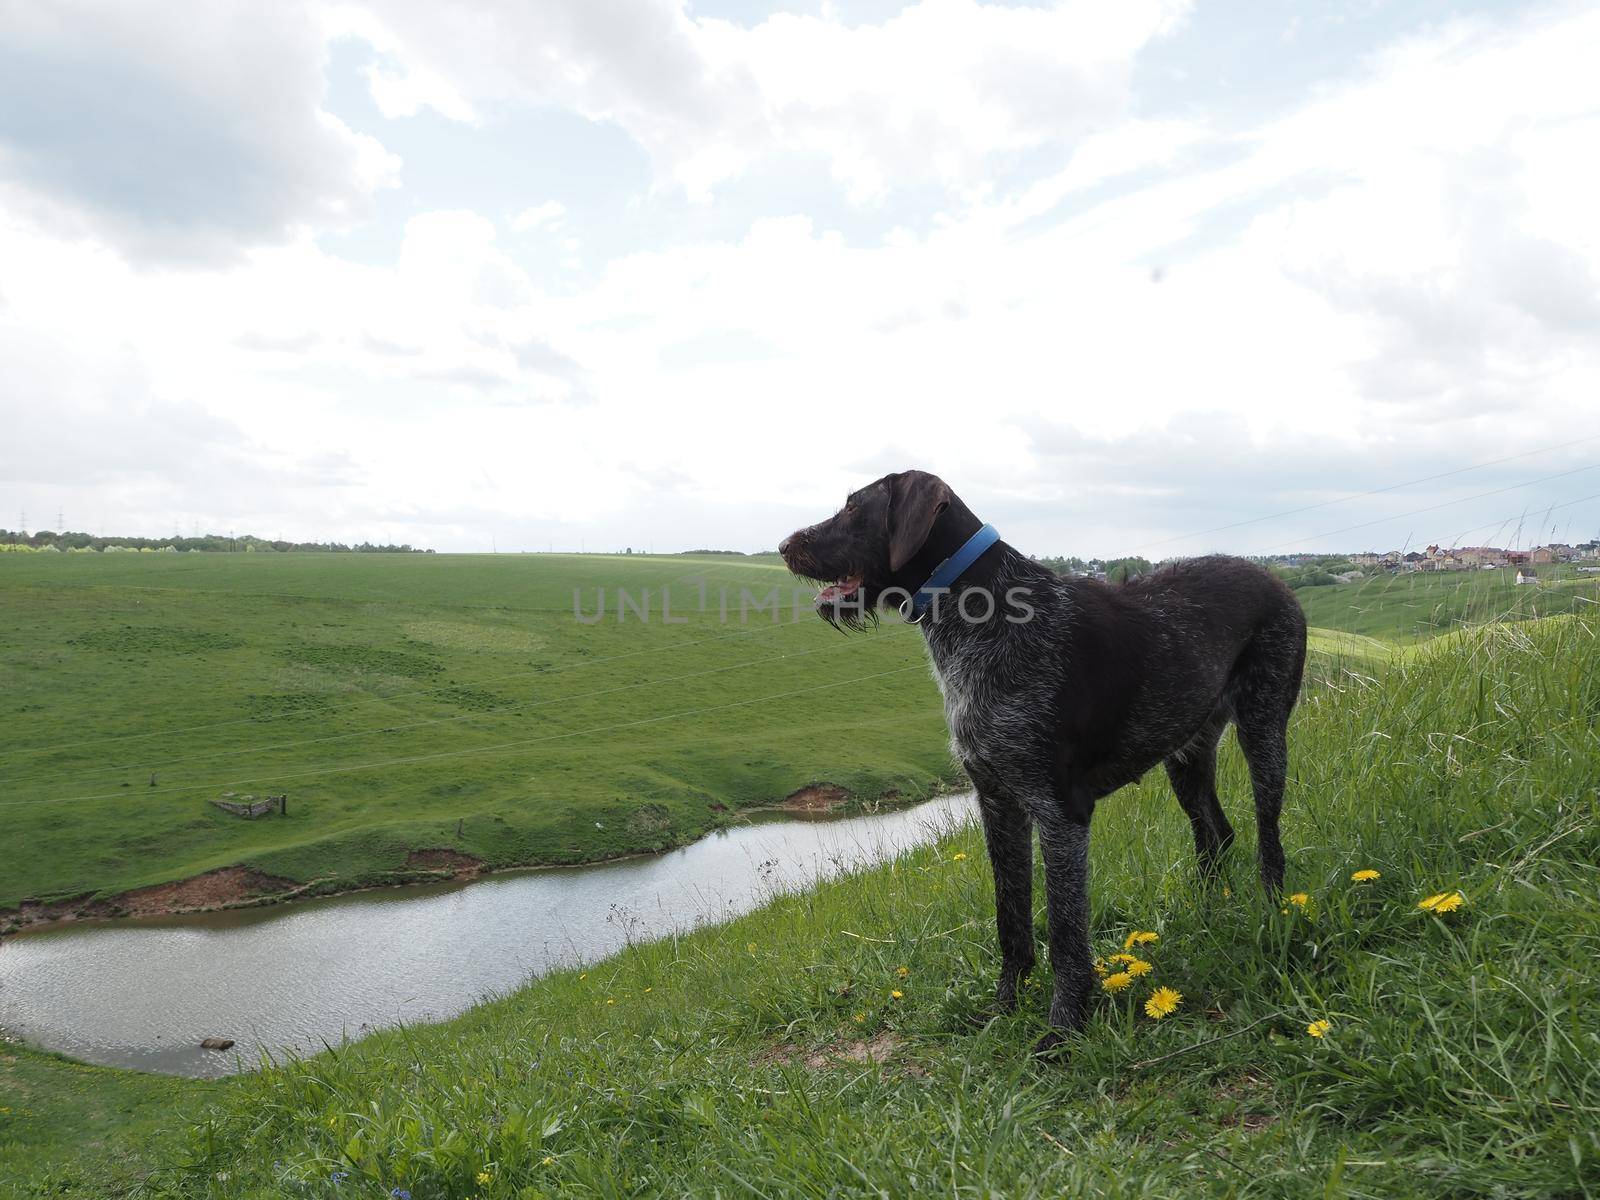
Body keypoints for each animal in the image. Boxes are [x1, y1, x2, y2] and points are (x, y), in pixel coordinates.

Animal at [780, 470, 1305, 1049]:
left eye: (855, 507)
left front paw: (1063, 1029)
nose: (783, 546)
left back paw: (1271, 909)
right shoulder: (997, 804)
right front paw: (1004, 1008)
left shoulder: (1061, 813)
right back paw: (1209, 911)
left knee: (1268, 836)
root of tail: (1273, 577)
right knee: (1217, 834)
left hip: (1263, 731)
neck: (977, 611)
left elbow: (1064, 930)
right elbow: (1011, 919)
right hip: (1185, 757)